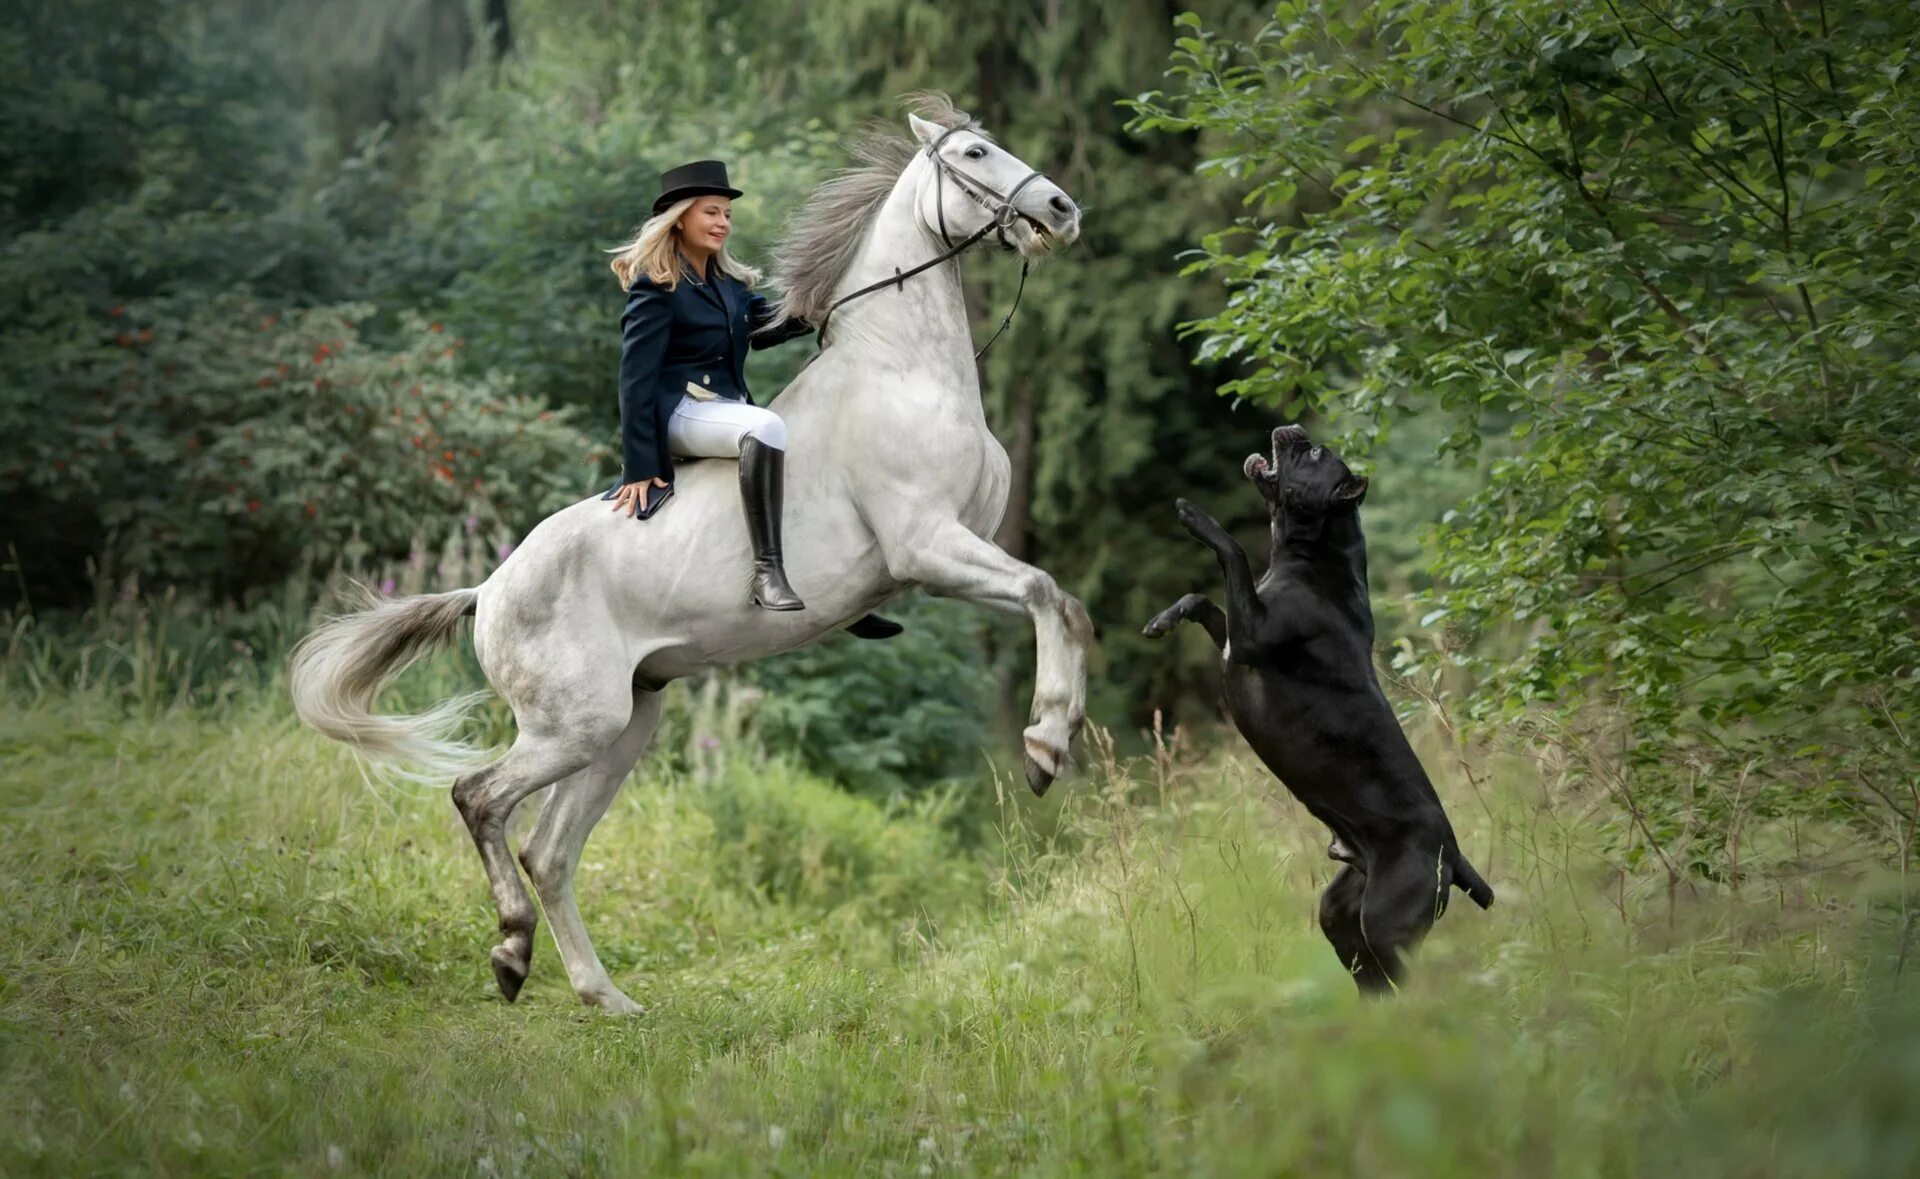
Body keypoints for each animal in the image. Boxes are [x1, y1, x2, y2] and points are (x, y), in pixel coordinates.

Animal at [289, 96, 1090, 1013]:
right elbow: (1047, 592)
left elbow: (1061, 603)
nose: (1063, 209)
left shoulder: (958, 556)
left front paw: (1056, 740)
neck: (901, 371)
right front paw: (1044, 745)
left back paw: (605, 997)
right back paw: (511, 951)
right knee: (481, 798)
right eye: (973, 155)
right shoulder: (929, 547)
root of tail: (486, 588)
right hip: (575, 724)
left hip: (624, 723)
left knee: (549, 850)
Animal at [1144, 428, 1489, 998]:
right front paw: (1164, 619)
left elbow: (1232, 551)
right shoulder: (1236, 638)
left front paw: (1195, 517)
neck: (1313, 556)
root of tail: (1454, 855)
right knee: (1370, 977)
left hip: (1387, 922)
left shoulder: (1251, 636)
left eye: (1313, 456)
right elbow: (1203, 600)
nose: (1295, 431)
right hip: (1340, 912)